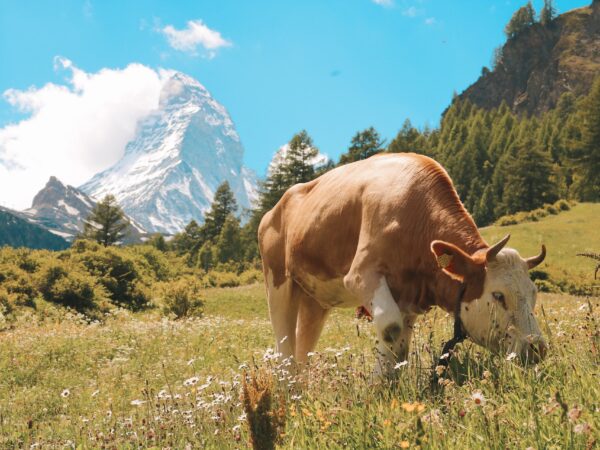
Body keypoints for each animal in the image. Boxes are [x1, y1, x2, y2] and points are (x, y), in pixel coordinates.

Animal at [258, 153, 548, 374]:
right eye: (498, 295)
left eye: (534, 294)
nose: (538, 348)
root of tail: (274, 209)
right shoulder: (361, 275)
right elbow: (391, 329)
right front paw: (376, 389)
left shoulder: (408, 297)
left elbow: (400, 346)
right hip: (278, 283)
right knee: (284, 347)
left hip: (315, 300)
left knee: (302, 350)